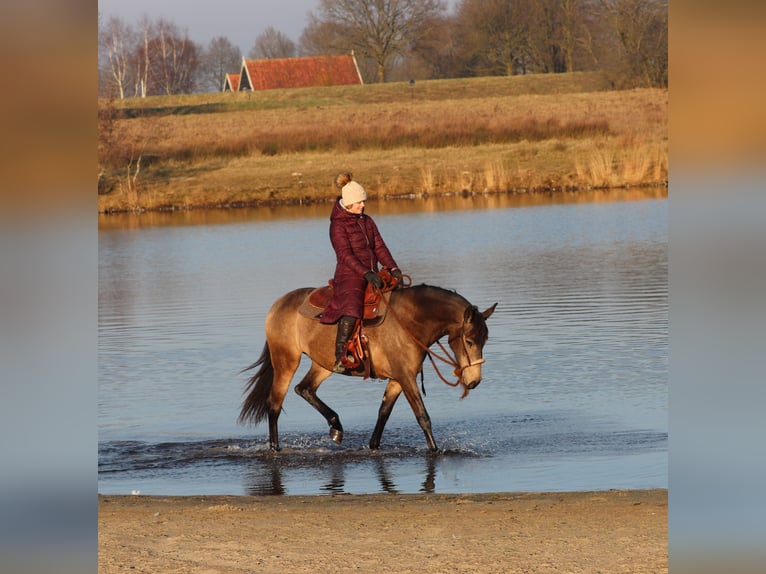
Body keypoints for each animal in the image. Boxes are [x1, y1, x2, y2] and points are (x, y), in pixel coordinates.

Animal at [238, 280, 498, 454]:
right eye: (469, 341)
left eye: (485, 340)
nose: (474, 381)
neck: (410, 321)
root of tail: (279, 304)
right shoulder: (406, 377)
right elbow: (423, 416)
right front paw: (435, 451)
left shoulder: (398, 379)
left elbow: (383, 414)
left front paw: (373, 446)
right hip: (286, 361)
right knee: (274, 404)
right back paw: (275, 449)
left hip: (323, 365)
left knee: (304, 389)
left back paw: (336, 427)